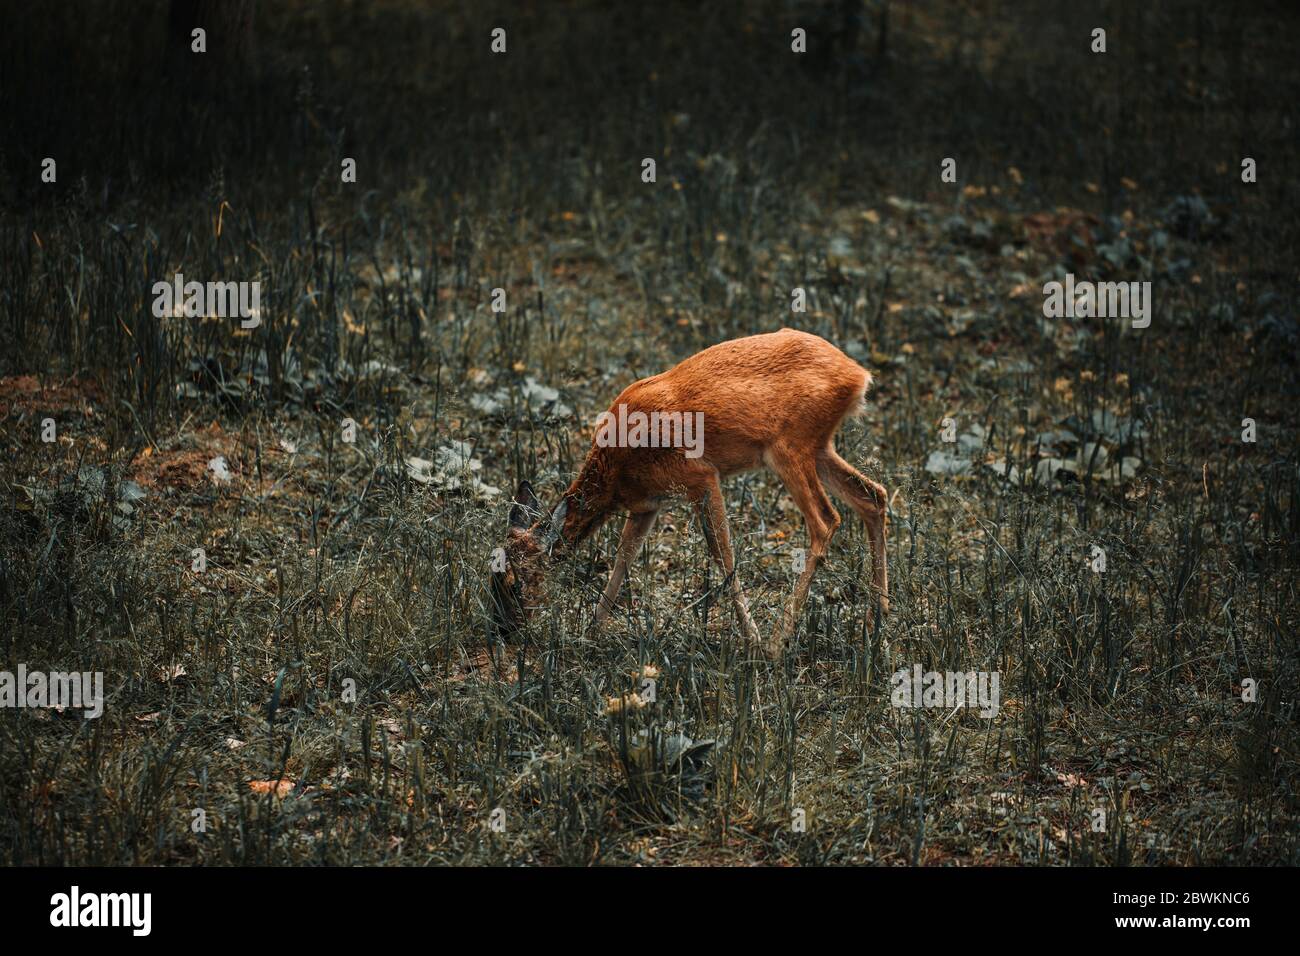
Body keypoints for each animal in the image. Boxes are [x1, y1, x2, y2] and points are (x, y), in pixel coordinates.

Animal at [490, 328, 889, 659]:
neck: (617, 468)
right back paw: (877, 620)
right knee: (874, 495)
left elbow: (722, 555)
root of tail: (858, 376)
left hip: (790, 447)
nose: (504, 631)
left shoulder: (701, 476)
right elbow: (623, 559)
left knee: (826, 520)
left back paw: (779, 642)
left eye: (515, 583)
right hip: (818, 448)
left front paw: (752, 640)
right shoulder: (646, 505)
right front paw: (590, 632)